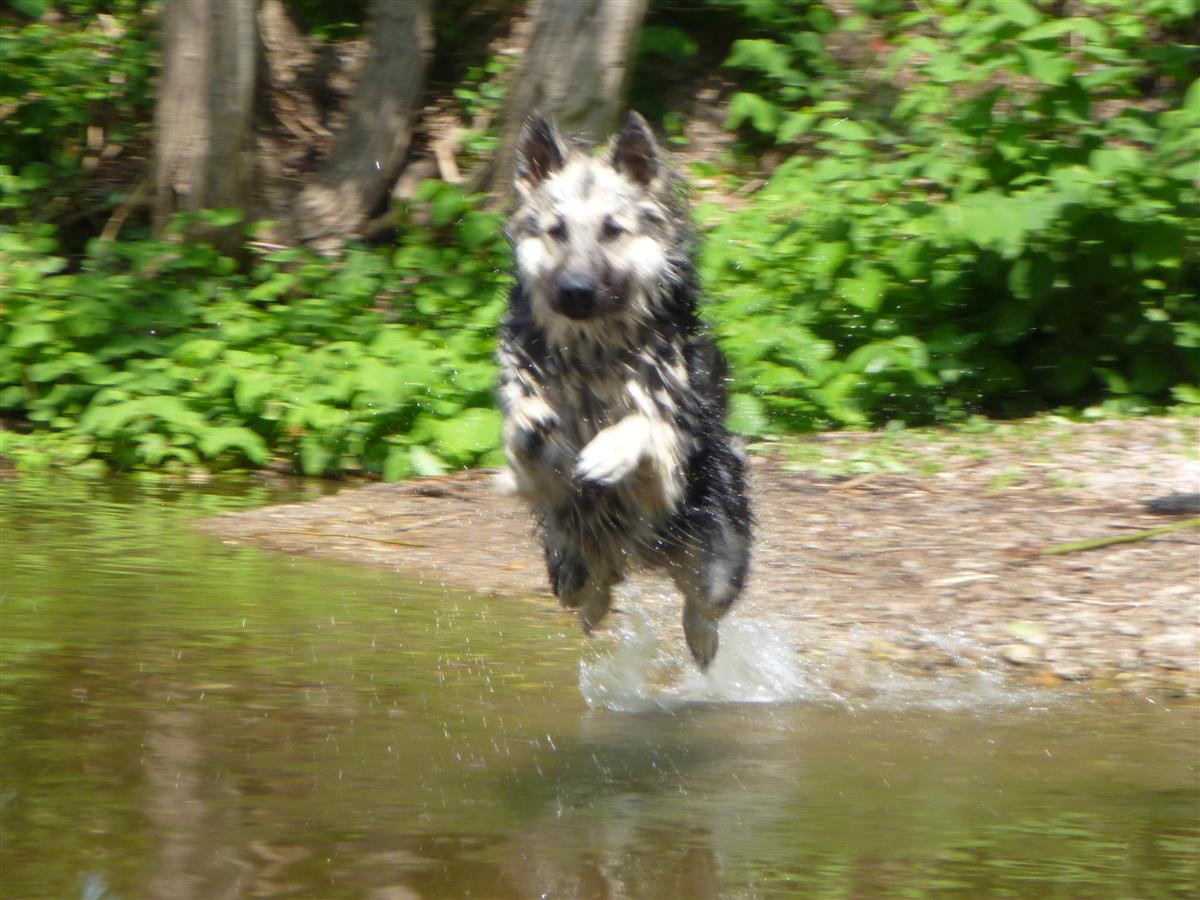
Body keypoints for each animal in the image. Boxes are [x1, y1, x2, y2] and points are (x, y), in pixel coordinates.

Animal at [496, 111, 748, 672]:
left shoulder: (667, 470)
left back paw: (701, 641)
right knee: (593, 588)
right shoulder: (538, 470)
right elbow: (523, 433)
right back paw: (596, 607)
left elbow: (644, 425)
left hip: (716, 554)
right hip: (565, 561)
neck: (593, 353)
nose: (575, 293)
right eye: (556, 231)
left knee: (702, 605)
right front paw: (533, 428)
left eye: (613, 230)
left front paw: (608, 451)